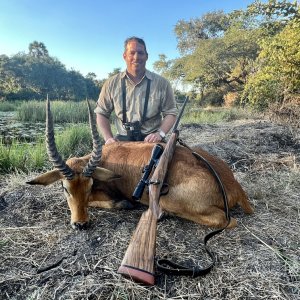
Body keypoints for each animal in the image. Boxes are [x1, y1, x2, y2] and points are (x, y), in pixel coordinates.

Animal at [27, 100, 254, 230]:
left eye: (89, 186)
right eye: (65, 188)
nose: (80, 224)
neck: (107, 157)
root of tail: (234, 185)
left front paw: (124, 204)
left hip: (170, 200)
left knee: (229, 221)